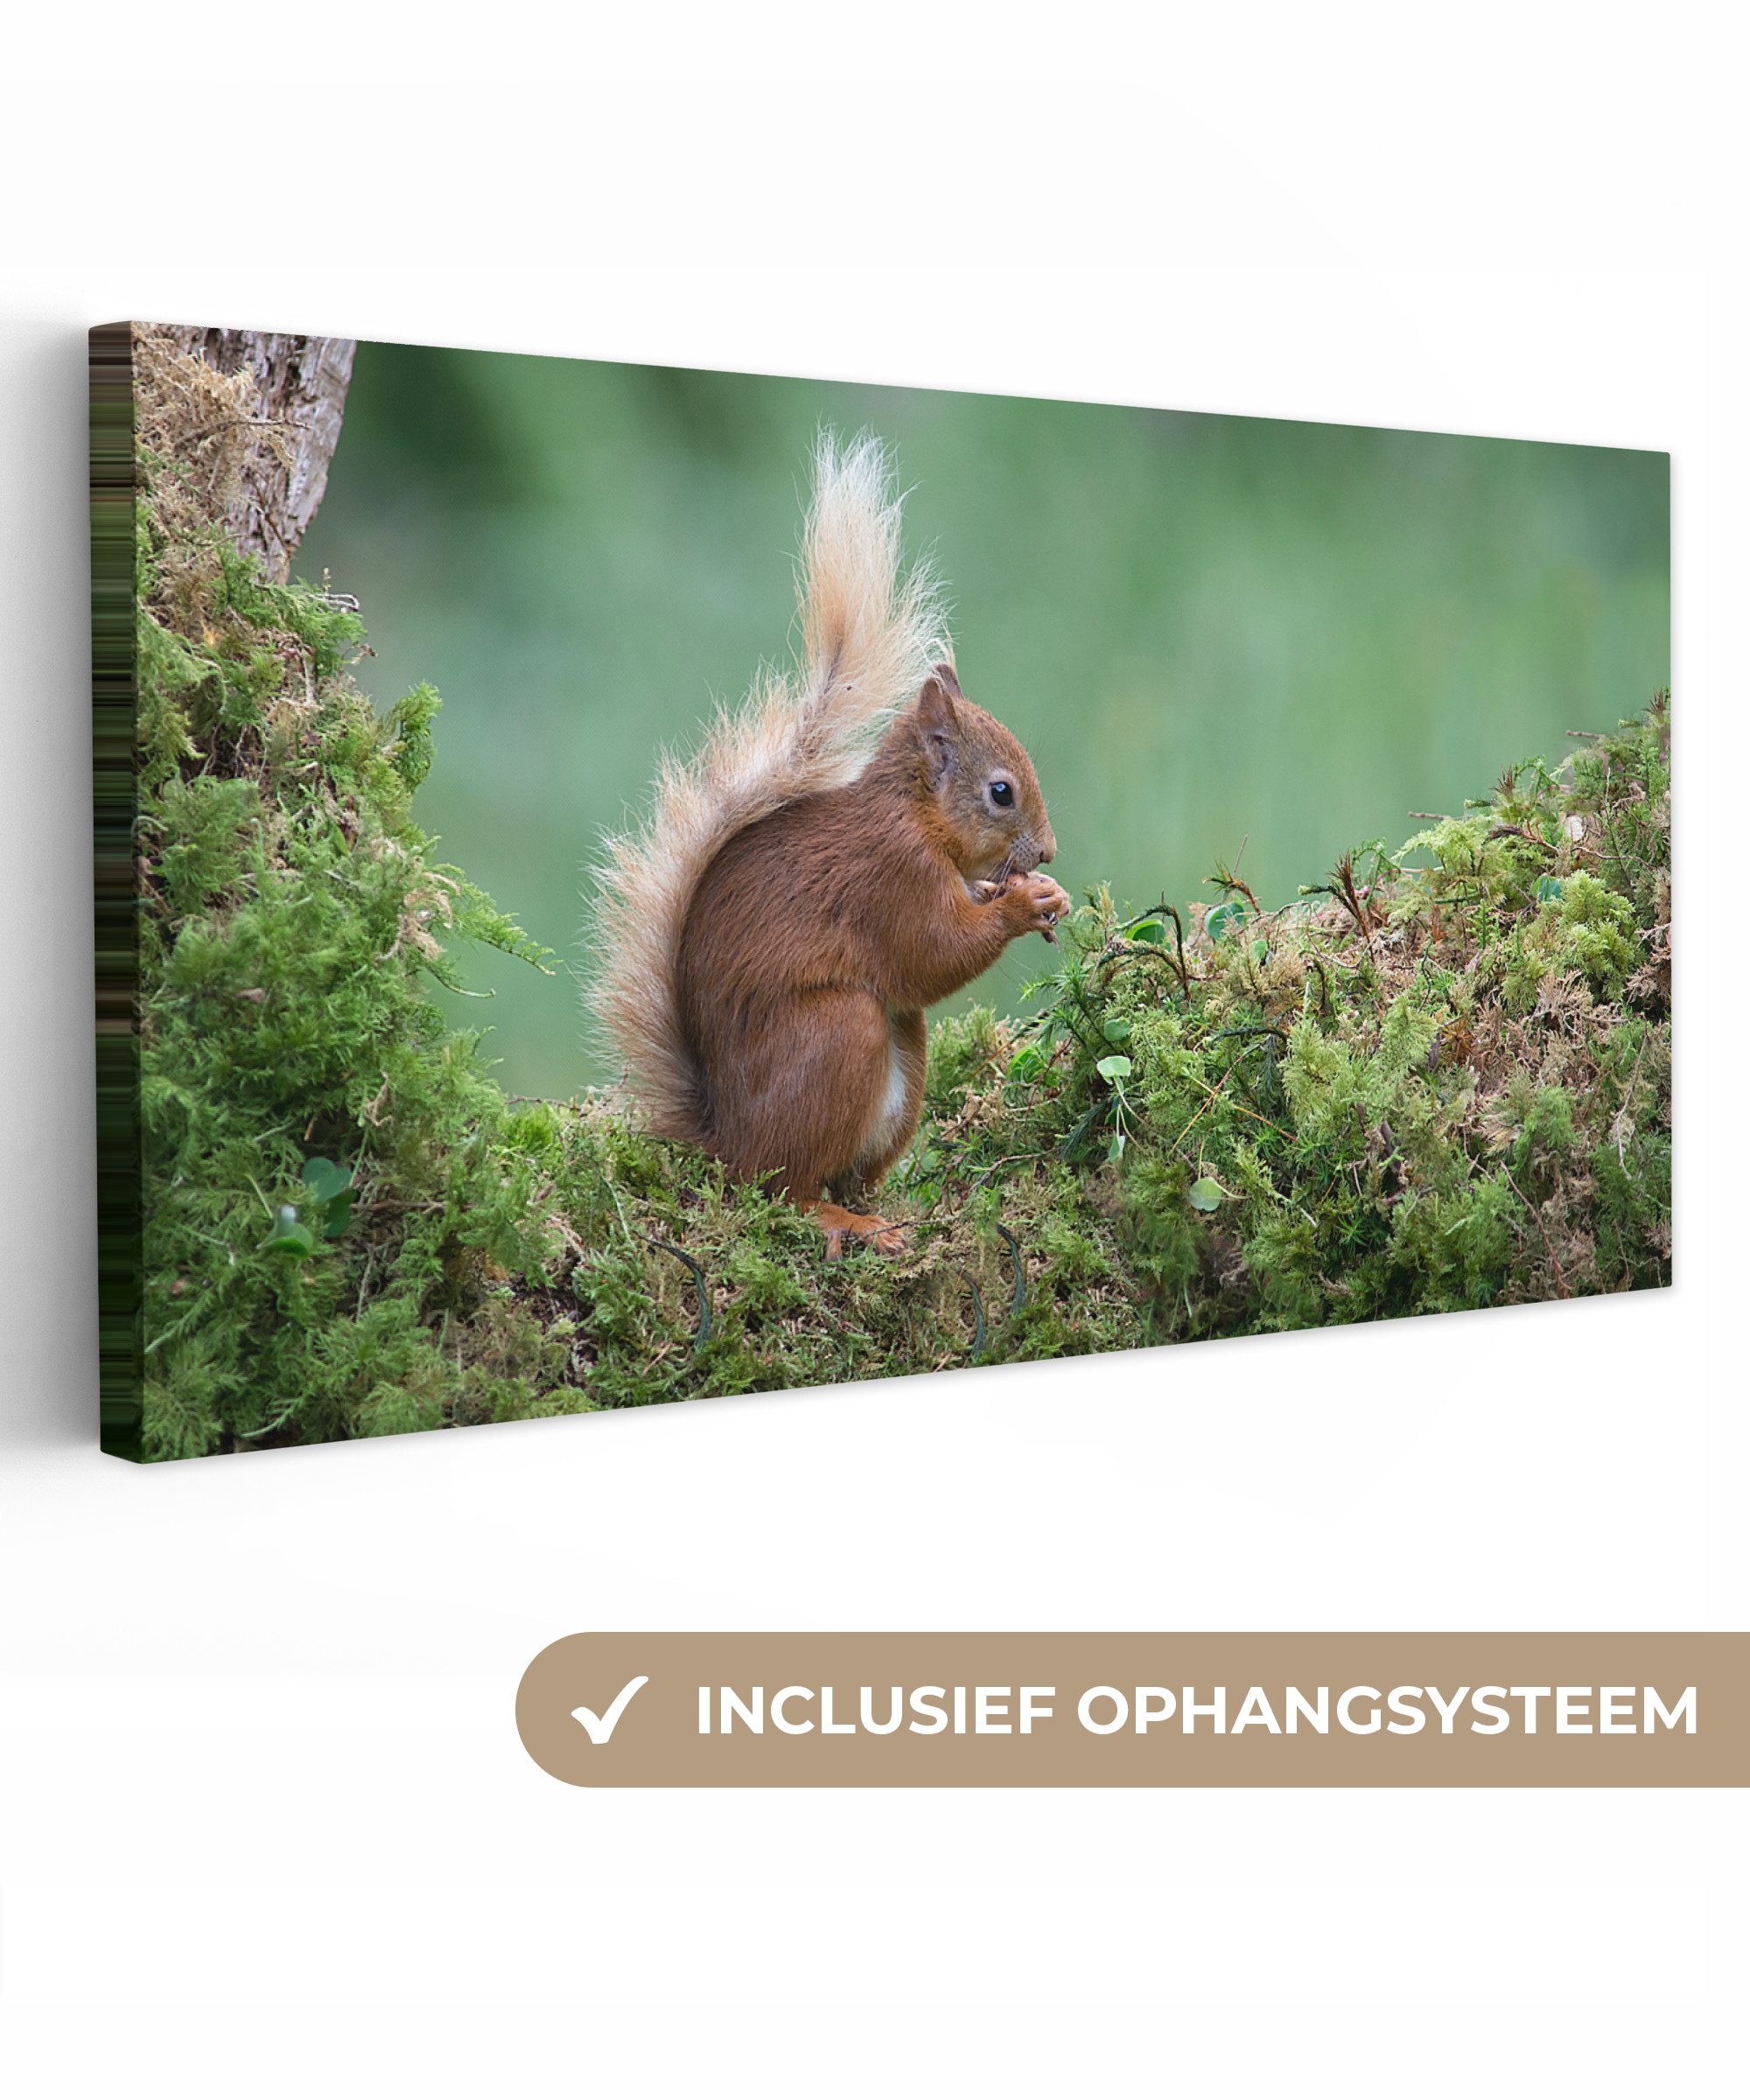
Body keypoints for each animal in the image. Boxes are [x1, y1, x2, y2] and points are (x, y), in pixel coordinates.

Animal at [592, 435, 1069, 1255]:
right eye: (1002, 792)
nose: (1049, 853)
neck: (915, 814)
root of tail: (725, 1142)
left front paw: (1039, 896)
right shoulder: (890, 875)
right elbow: (931, 952)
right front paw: (1020, 905)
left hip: (902, 1061)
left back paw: (886, 1212)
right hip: (836, 1035)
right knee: (782, 1188)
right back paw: (841, 1220)